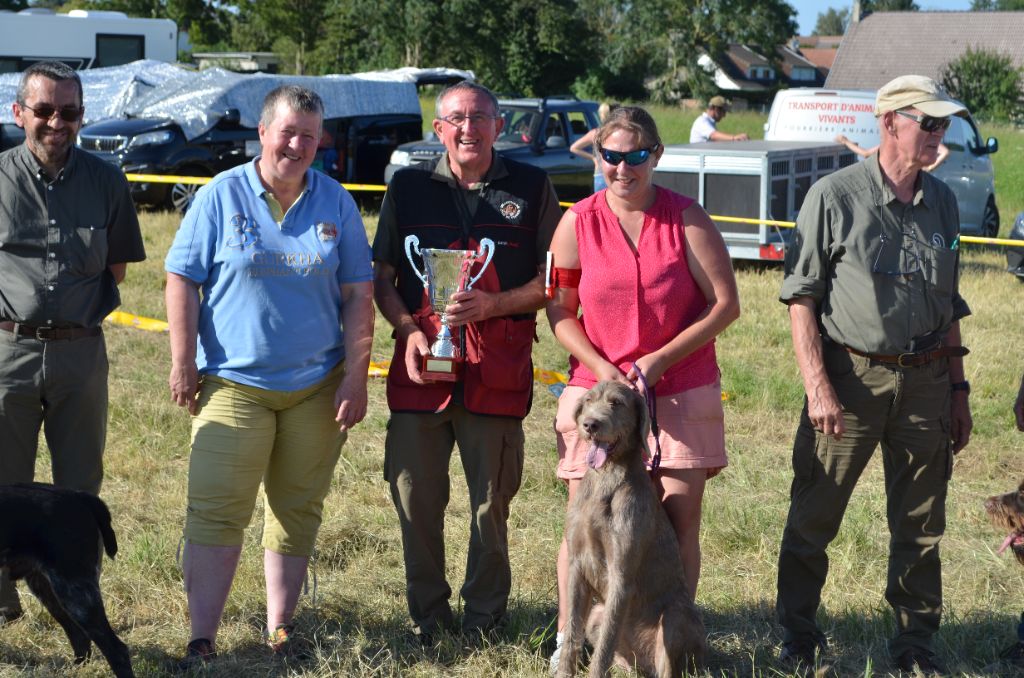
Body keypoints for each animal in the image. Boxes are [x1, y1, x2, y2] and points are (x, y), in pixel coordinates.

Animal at [557, 378, 708, 675]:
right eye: (588, 401)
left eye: (616, 403)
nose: (590, 424)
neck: (606, 478)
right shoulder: (577, 566)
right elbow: (572, 633)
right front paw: (564, 672)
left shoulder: (621, 575)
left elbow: (604, 646)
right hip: (596, 615)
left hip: (675, 618)